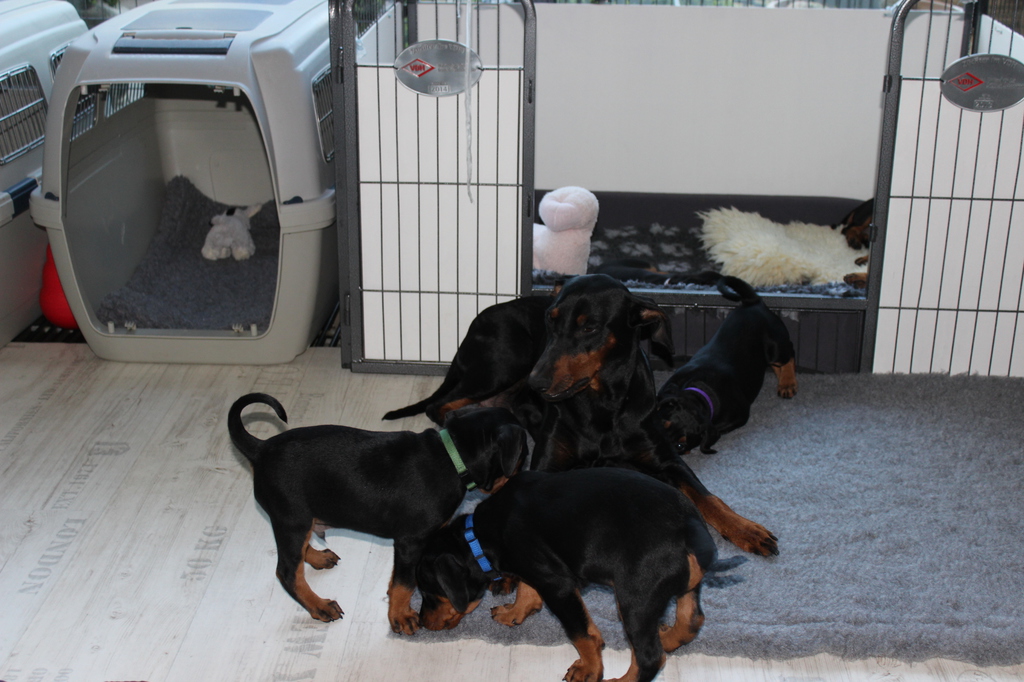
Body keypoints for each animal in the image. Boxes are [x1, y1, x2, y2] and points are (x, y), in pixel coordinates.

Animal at [227, 393, 528, 632]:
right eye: (522, 456)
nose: (524, 479)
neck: (452, 456)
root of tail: (261, 448)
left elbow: (400, 578)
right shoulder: (411, 540)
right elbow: (405, 583)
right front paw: (400, 617)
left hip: (296, 520)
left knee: (299, 552)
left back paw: (318, 557)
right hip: (292, 518)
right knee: (287, 571)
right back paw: (320, 606)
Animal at [417, 468, 716, 682]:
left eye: (429, 594)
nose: (421, 623)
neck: (478, 536)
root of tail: (690, 528)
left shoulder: (558, 586)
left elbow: (581, 634)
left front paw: (589, 671)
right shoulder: (537, 569)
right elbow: (527, 589)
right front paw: (513, 612)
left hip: (635, 597)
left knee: (650, 657)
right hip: (681, 586)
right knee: (691, 620)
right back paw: (667, 637)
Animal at [527, 274, 778, 557]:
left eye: (589, 327)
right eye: (550, 319)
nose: (535, 383)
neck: (601, 403)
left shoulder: (668, 460)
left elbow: (707, 496)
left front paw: (745, 529)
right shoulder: (547, 466)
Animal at [657, 275, 797, 454]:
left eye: (681, 446)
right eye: (663, 423)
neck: (700, 393)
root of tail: (754, 302)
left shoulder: (739, 415)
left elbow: (717, 428)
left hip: (775, 345)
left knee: (789, 354)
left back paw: (787, 384)